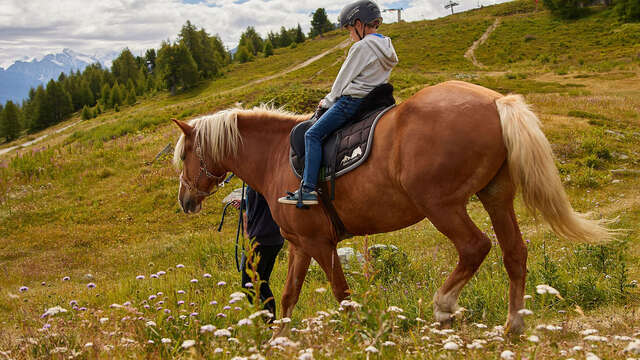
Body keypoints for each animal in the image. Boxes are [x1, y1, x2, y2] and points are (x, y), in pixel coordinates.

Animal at [171, 81, 616, 334]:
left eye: (186, 154)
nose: (185, 200)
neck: (278, 156)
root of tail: (495, 102)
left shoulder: (320, 243)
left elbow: (341, 293)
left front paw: (359, 332)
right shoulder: (300, 245)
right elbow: (288, 295)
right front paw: (280, 338)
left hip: (442, 205)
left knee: (475, 248)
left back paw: (444, 307)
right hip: (495, 196)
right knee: (514, 253)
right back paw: (514, 324)